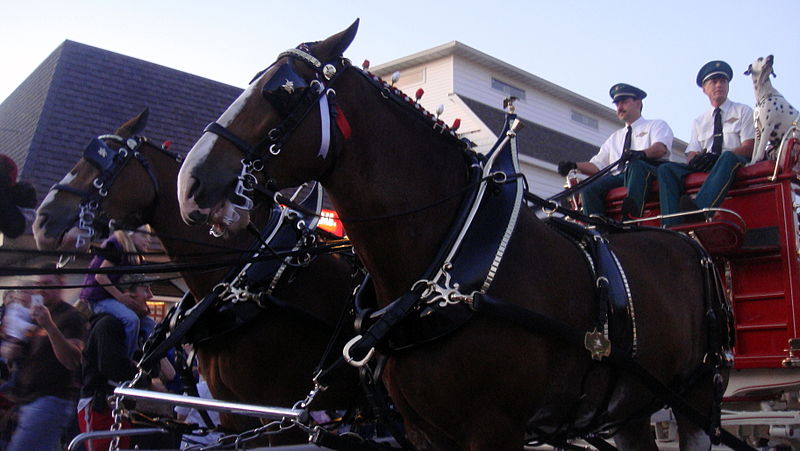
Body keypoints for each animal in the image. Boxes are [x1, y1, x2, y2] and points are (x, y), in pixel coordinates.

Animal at [178, 22, 736, 451]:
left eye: (283, 92)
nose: (191, 183)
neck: (446, 264)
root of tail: (689, 241)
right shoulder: (423, 431)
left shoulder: (495, 429)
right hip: (630, 403)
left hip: (698, 397)